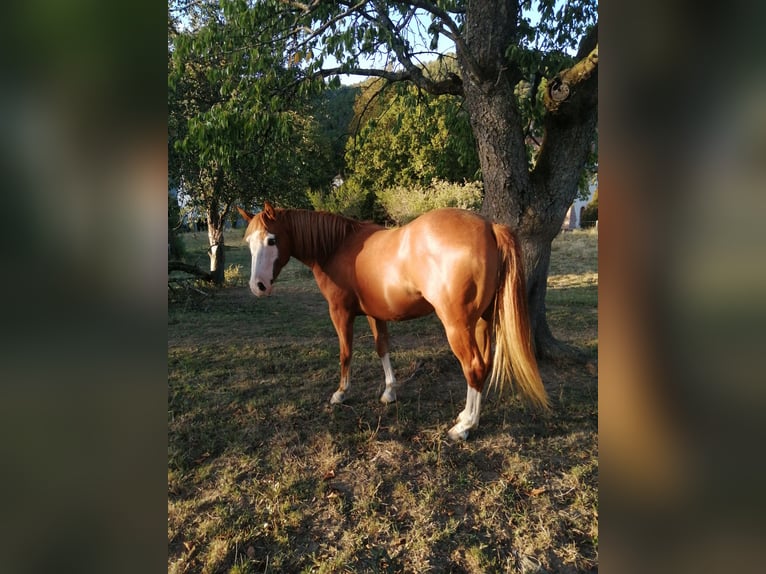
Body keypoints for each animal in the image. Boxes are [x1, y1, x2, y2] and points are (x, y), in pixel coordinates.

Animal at [237, 202, 549, 440]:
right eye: (249, 243)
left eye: (272, 240)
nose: (258, 286)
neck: (337, 247)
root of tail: (489, 228)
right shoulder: (376, 314)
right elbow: (382, 348)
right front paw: (389, 392)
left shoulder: (340, 312)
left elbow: (345, 352)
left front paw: (341, 393)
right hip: (482, 321)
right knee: (483, 364)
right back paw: (469, 416)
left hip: (457, 326)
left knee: (473, 366)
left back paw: (463, 427)